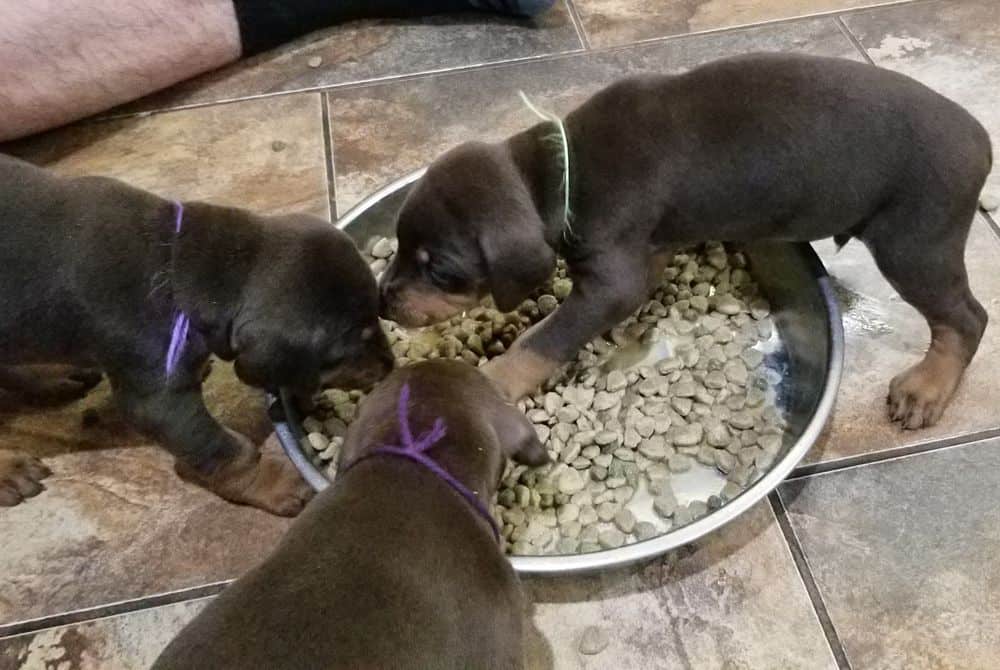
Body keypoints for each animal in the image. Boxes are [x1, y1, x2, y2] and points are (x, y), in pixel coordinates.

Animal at [0, 155, 394, 516]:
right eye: (350, 346)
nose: (390, 365)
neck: (175, 263)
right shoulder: (159, 401)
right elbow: (221, 450)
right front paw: (270, 483)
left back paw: (53, 375)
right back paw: (9, 470)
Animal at [380, 52, 992, 430]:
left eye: (442, 270)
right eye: (400, 244)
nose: (383, 300)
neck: (560, 171)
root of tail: (983, 141)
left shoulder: (612, 283)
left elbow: (544, 339)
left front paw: (492, 382)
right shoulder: (647, 254)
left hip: (914, 242)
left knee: (966, 318)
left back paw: (926, 388)